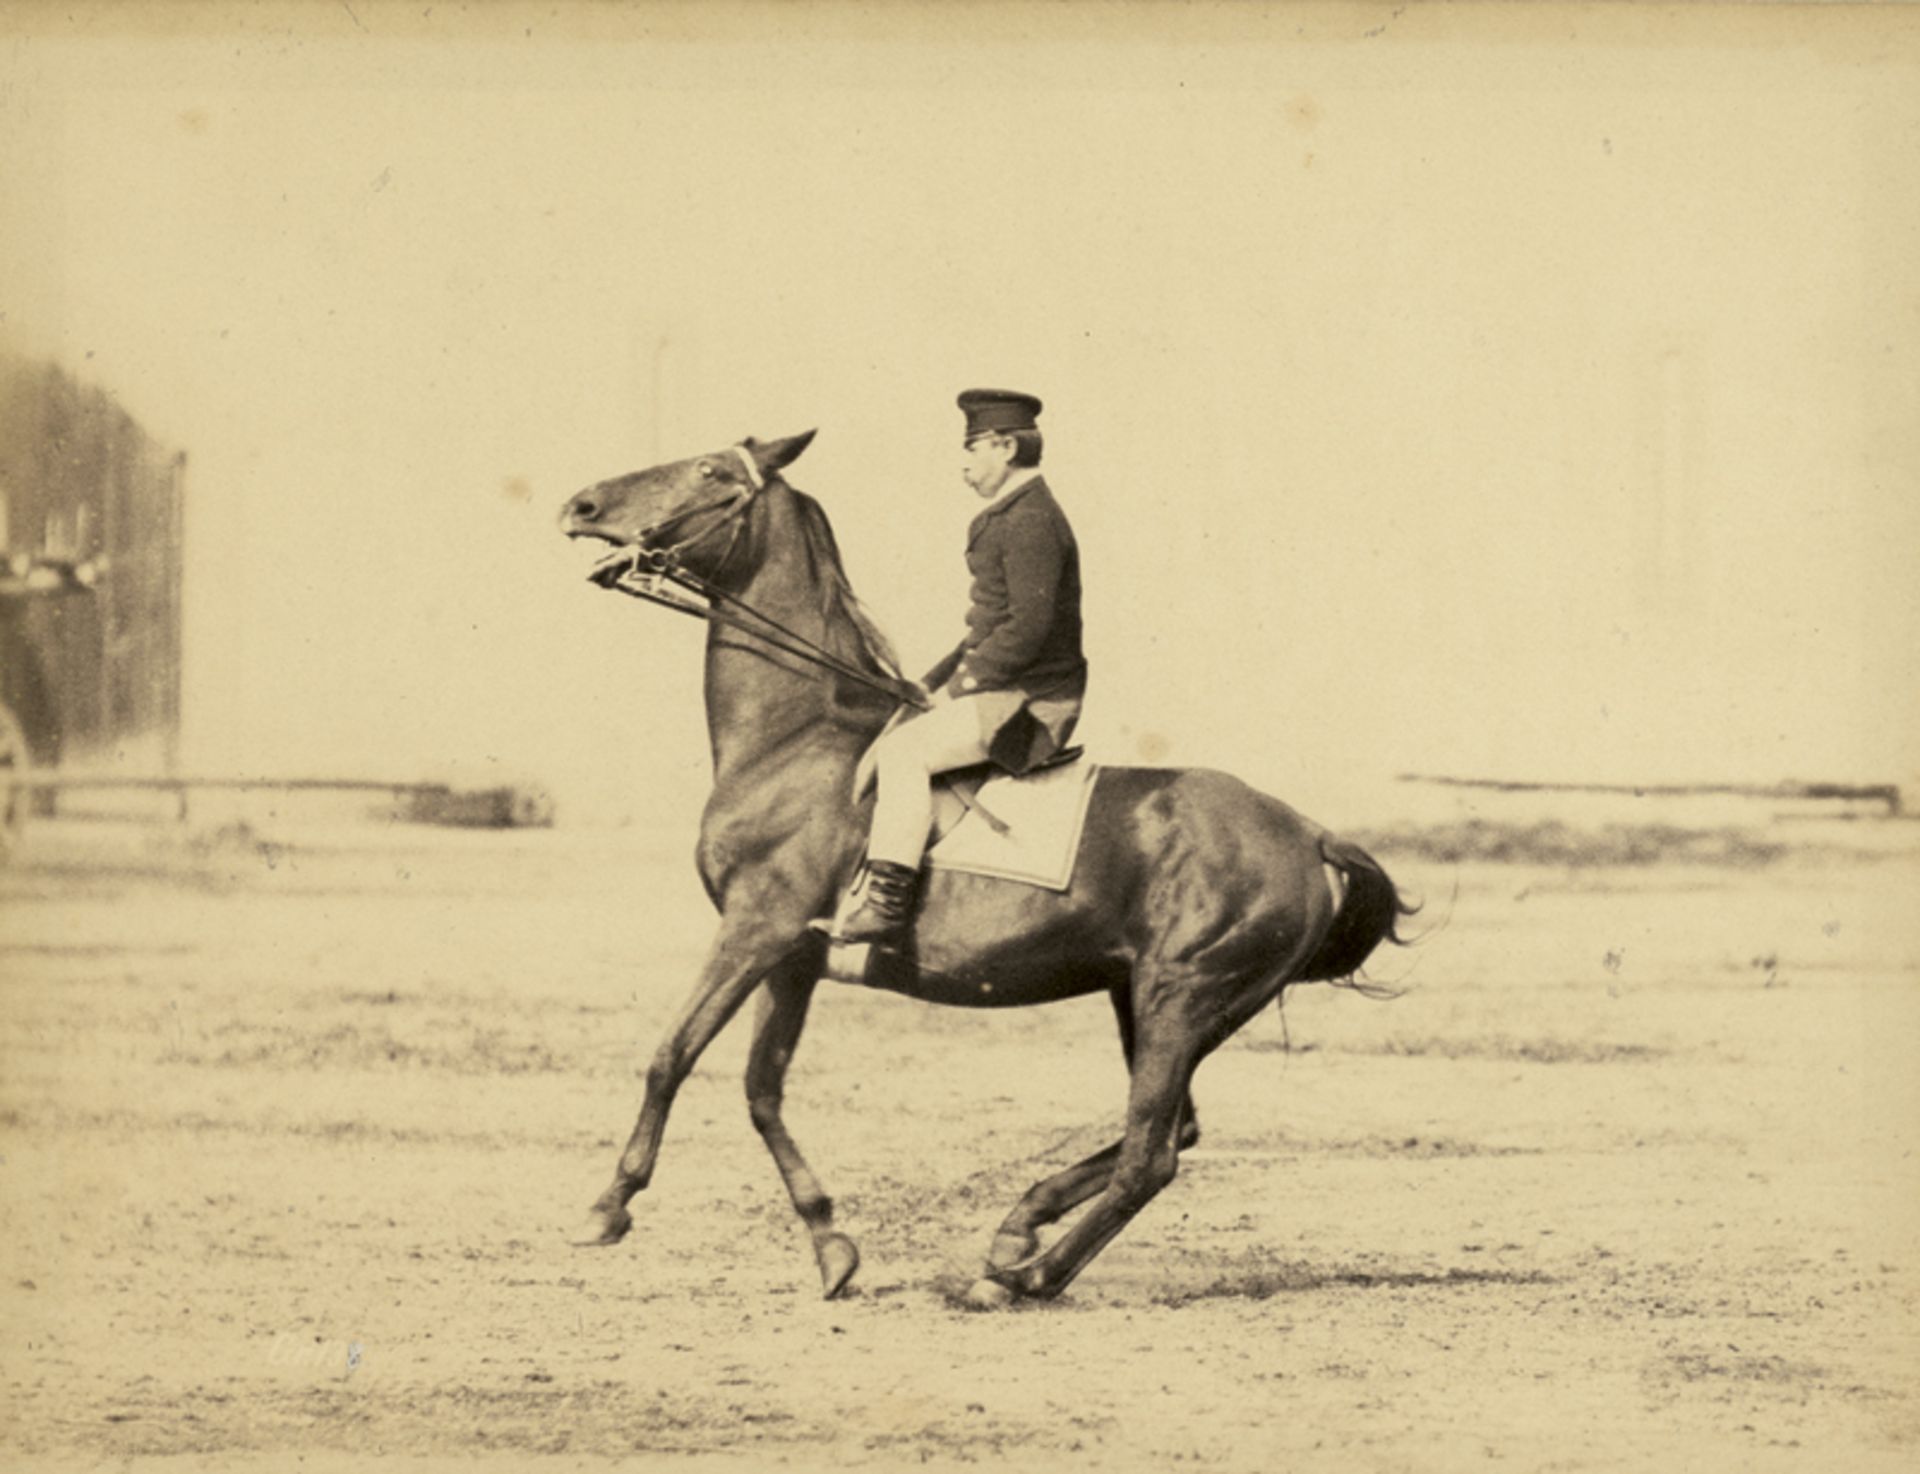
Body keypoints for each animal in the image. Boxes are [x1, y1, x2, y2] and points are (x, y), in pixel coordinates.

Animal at [556, 431, 1413, 1305]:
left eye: (707, 471)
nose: (580, 505)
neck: (795, 740)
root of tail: (1310, 833)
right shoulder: (792, 959)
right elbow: (762, 1091)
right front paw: (832, 1243)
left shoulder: (755, 931)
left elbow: (671, 1055)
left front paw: (607, 1208)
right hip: (1143, 996)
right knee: (1174, 1130)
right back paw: (1019, 1227)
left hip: (1183, 997)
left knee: (1151, 1156)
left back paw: (1022, 1277)